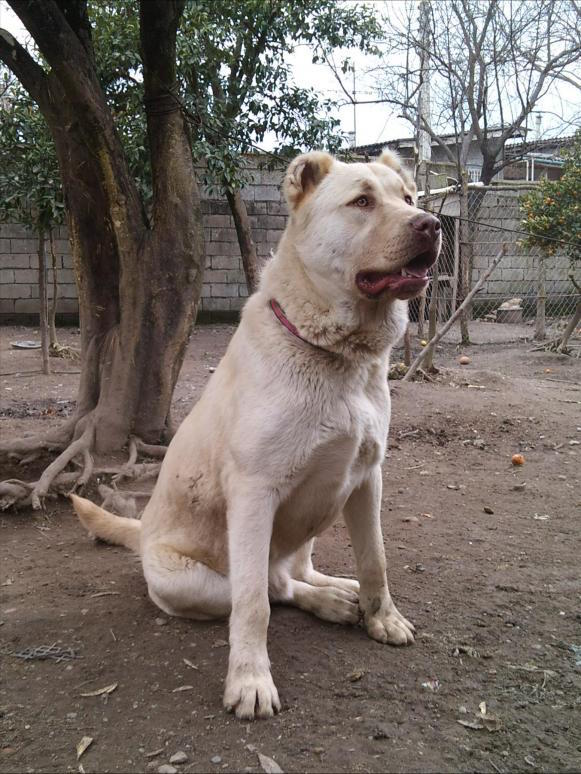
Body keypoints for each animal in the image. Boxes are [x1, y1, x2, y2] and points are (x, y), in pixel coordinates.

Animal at [75, 150, 442, 720]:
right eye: (362, 201)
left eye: (408, 198)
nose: (432, 224)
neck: (337, 358)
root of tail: (143, 532)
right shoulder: (253, 494)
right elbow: (253, 608)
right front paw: (250, 680)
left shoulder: (367, 479)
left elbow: (375, 560)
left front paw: (382, 617)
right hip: (194, 583)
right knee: (268, 587)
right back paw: (327, 601)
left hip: (318, 516)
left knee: (296, 572)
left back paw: (337, 592)